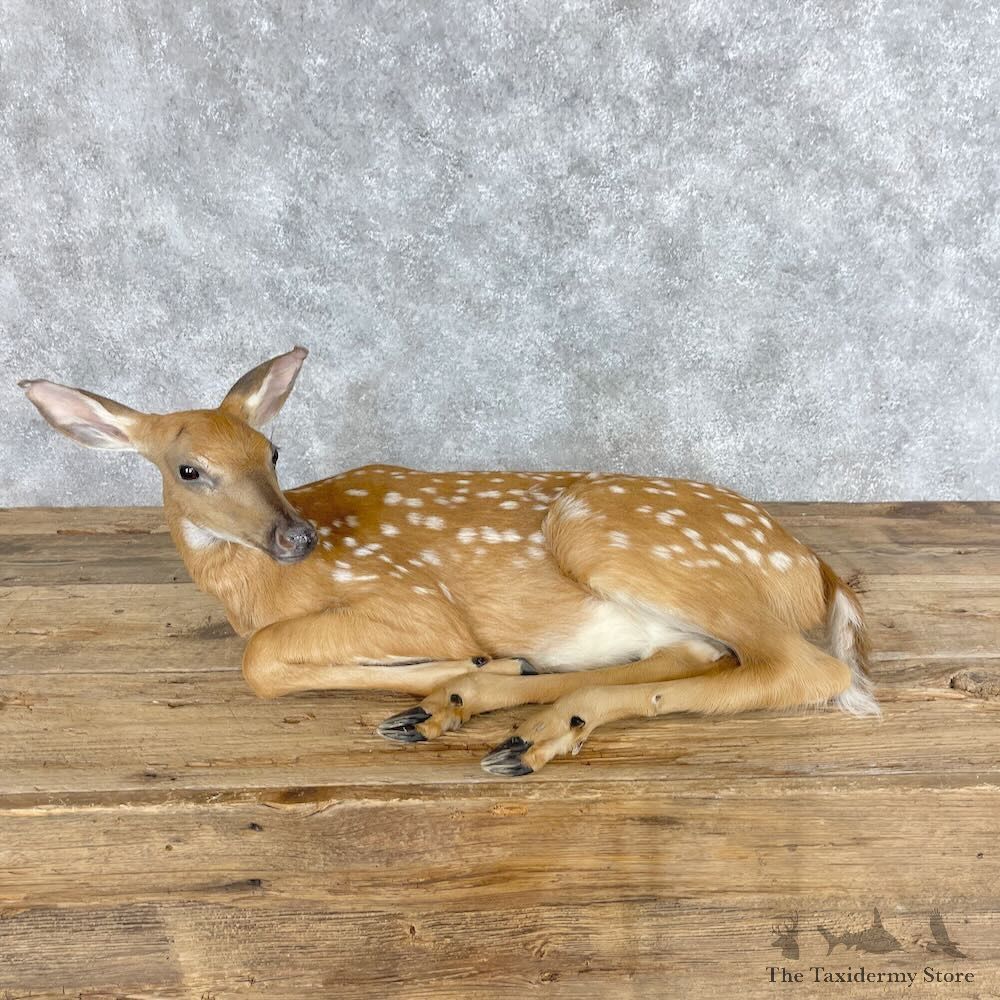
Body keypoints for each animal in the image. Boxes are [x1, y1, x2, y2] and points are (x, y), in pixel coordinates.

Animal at [19, 346, 879, 777]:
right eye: (189, 469)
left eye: (272, 450)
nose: (298, 539)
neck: (255, 589)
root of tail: (813, 566)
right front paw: (463, 678)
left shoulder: (411, 598)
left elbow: (260, 659)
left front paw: (451, 665)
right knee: (696, 655)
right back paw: (486, 709)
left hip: (609, 535)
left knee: (803, 670)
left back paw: (509, 715)